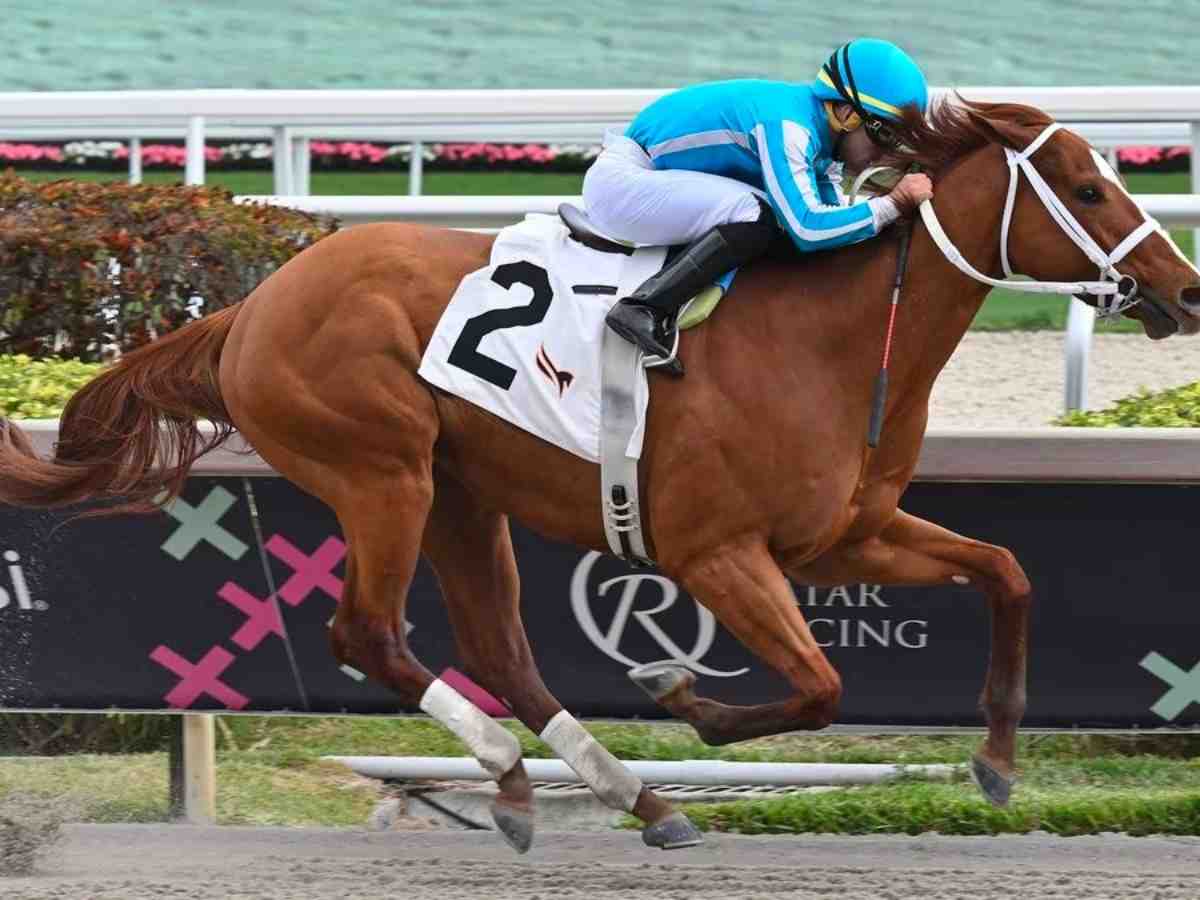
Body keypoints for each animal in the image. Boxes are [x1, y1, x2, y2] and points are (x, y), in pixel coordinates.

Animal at [2, 102, 1200, 854]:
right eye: (1088, 187)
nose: (1181, 289)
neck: (838, 339)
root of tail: (255, 305)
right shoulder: (717, 553)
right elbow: (820, 686)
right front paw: (684, 698)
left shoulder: (844, 536)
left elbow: (1006, 572)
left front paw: (996, 761)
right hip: (383, 473)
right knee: (369, 633)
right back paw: (520, 768)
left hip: (462, 494)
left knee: (501, 651)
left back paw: (631, 797)